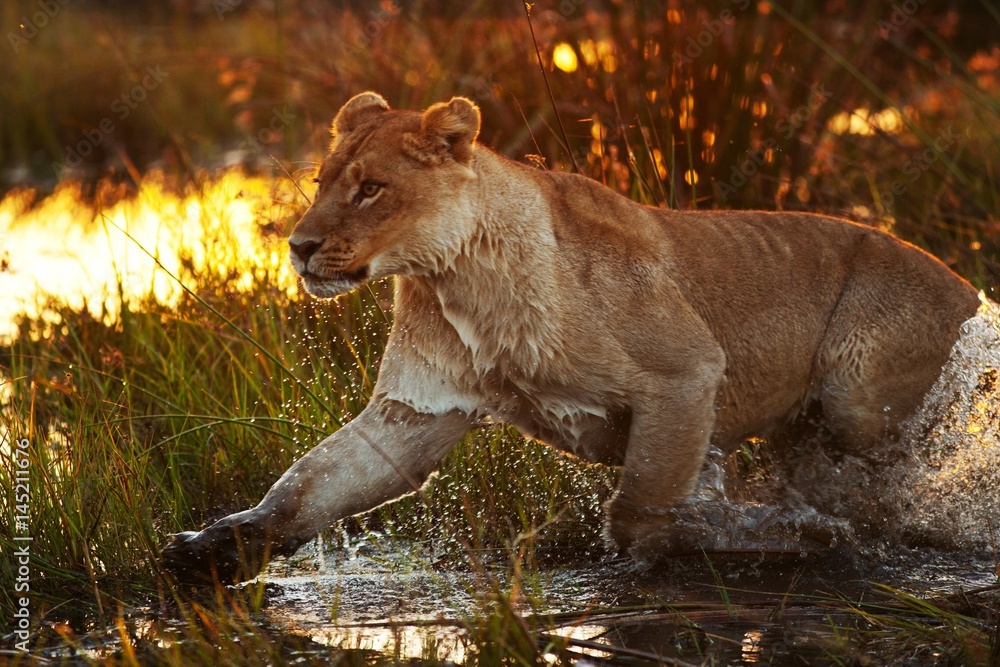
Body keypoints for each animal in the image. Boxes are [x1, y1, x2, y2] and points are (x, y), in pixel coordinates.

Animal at [161, 92, 981, 584]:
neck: (456, 277)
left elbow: (640, 508)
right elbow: (312, 483)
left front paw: (756, 536)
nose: (299, 248)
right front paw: (215, 550)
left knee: (880, 484)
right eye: (321, 183)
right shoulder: (416, 412)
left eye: (369, 189)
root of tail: (963, 282)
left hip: (857, 395)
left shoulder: (688, 373)